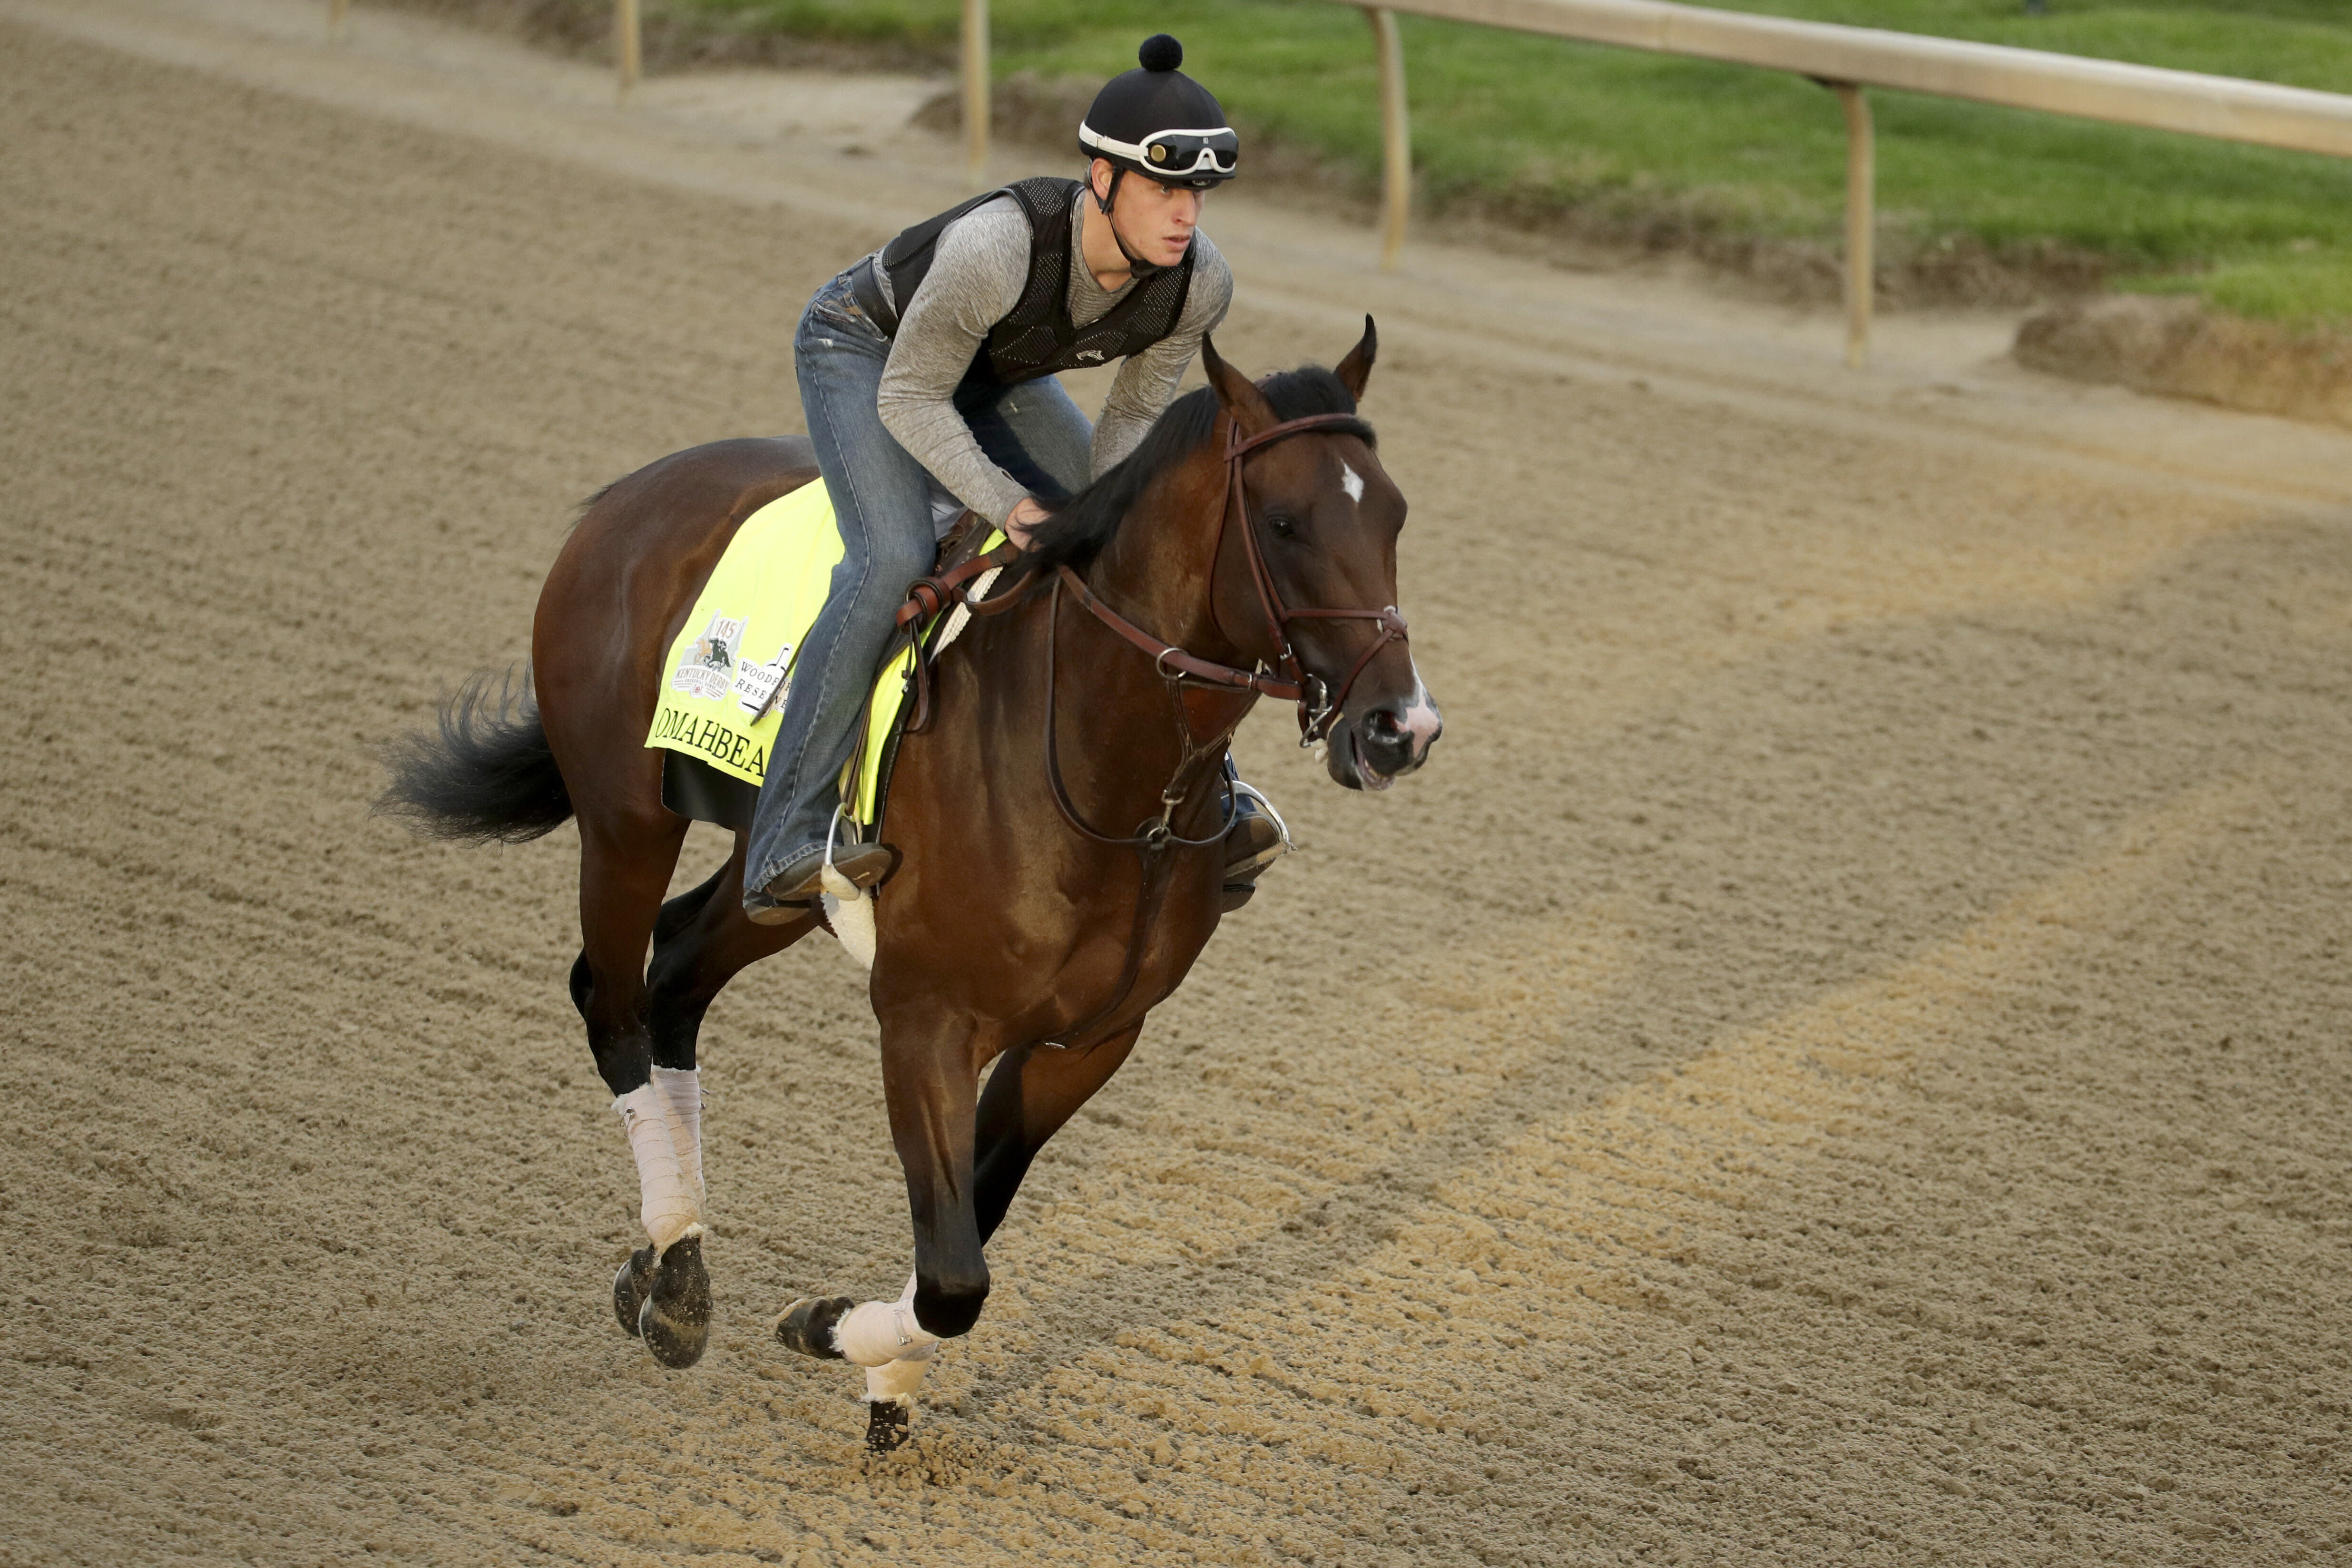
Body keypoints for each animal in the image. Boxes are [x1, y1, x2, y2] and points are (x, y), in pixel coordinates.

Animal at [378, 322, 1439, 1457]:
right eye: (1284, 522)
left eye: (1394, 514)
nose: (1399, 728)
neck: (1105, 772)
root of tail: (626, 495)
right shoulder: (926, 1017)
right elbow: (956, 1274)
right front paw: (826, 1327)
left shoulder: (1088, 1040)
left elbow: (969, 1228)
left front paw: (884, 1374)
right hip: (628, 819)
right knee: (611, 996)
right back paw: (671, 1269)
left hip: (777, 878)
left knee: (676, 978)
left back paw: (672, 1269)